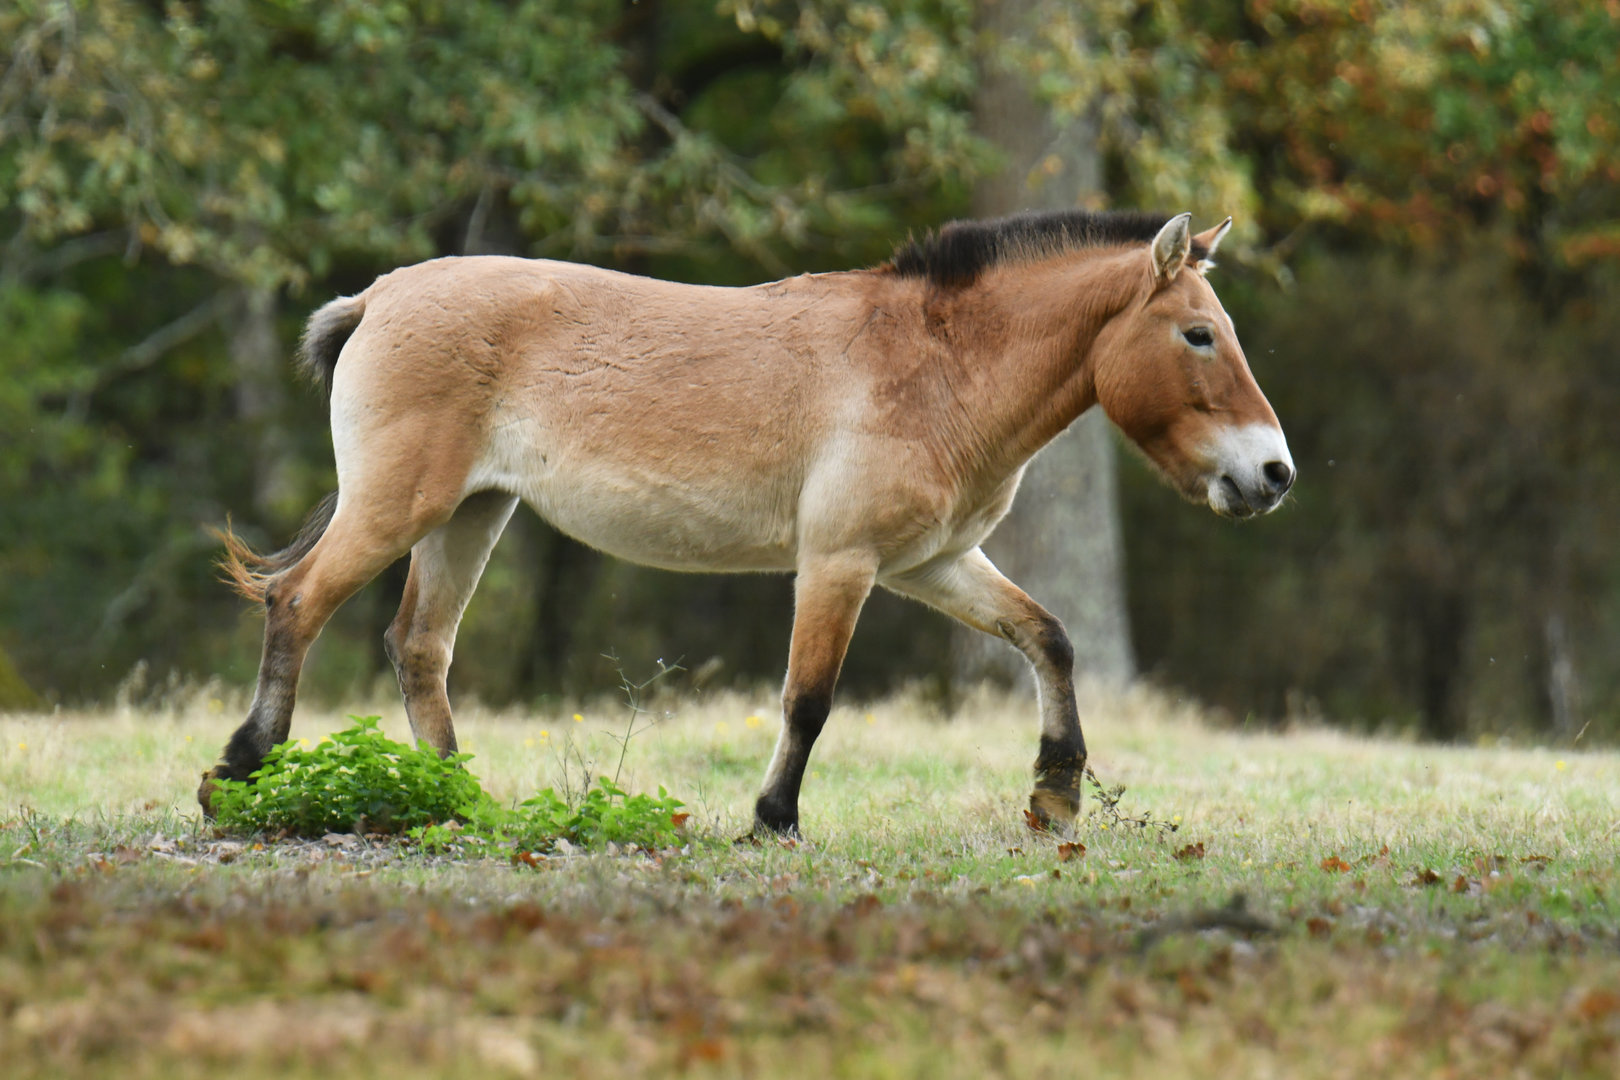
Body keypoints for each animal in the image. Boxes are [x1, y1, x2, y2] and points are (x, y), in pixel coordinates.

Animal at [199, 209, 1293, 836]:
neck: (936, 368)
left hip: (470, 514)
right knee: (299, 604)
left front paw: (1055, 794)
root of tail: (379, 298)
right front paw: (773, 820)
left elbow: (1050, 639)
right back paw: (238, 777)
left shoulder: (933, 564)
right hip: (401, 507)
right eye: (1199, 334)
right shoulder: (842, 563)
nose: (1272, 474)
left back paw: (458, 805)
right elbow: (808, 700)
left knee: (418, 647)